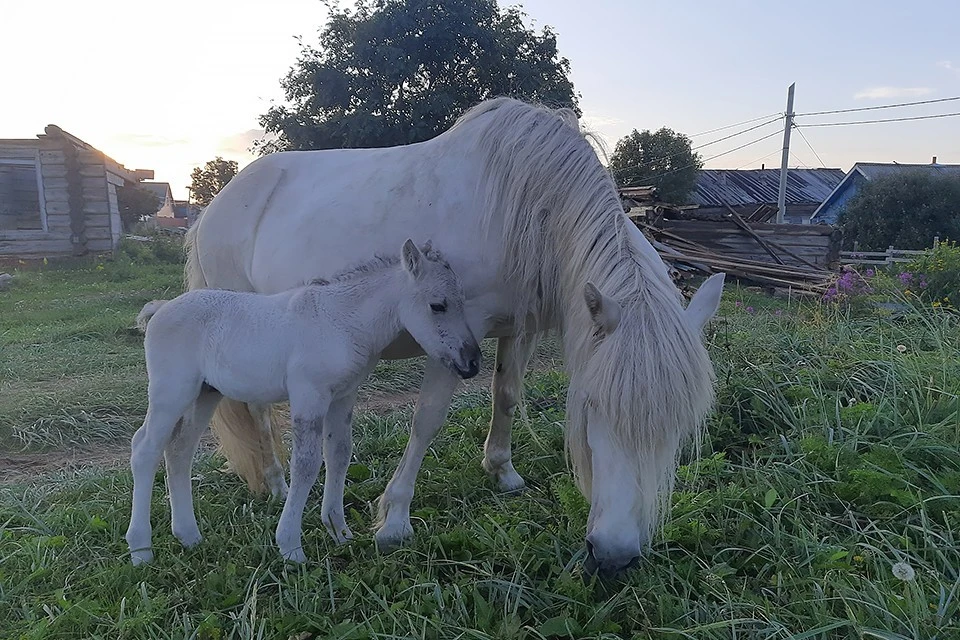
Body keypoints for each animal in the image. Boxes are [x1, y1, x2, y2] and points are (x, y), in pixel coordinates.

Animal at [125, 240, 480, 564]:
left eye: (464, 301)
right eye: (438, 305)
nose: (472, 362)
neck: (342, 320)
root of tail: (160, 309)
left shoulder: (342, 396)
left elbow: (339, 454)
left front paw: (339, 531)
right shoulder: (309, 395)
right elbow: (306, 465)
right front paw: (291, 547)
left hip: (205, 394)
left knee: (179, 451)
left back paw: (189, 535)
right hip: (172, 391)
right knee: (145, 449)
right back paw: (141, 549)